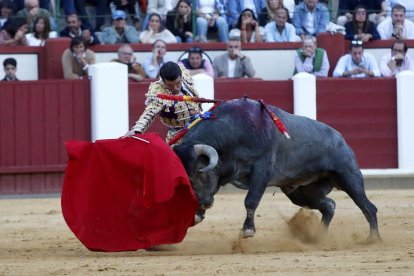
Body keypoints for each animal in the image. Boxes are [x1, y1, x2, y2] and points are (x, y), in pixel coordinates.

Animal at [172, 97, 382, 242]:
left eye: (198, 174)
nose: (204, 204)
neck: (234, 130)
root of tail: (340, 138)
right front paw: (197, 215)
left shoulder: (261, 170)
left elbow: (251, 200)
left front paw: (247, 230)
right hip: (302, 192)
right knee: (329, 205)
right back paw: (318, 238)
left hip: (348, 176)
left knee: (368, 207)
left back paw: (373, 239)